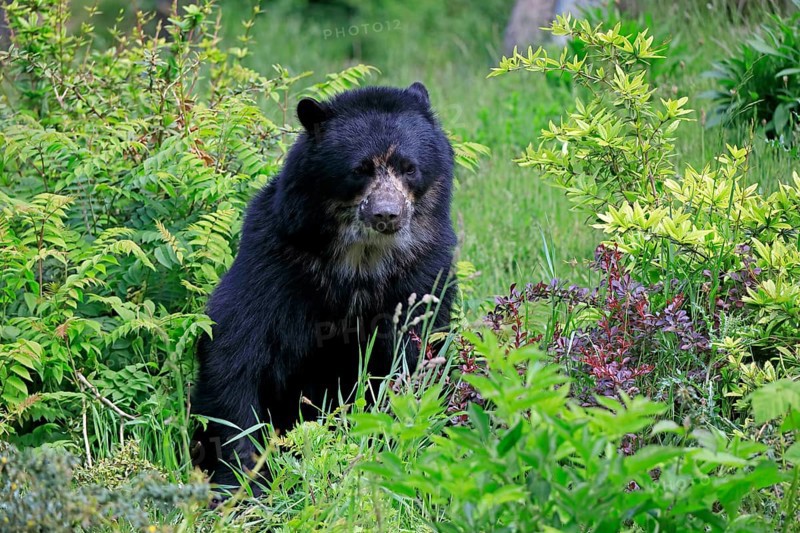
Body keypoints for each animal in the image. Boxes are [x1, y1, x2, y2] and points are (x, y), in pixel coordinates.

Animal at [190, 82, 457, 492]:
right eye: (359, 170)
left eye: (409, 168)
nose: (386, 214)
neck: (362, 259)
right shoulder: (274, 262)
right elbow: (235, 351)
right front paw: (241, 478)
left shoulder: (424, 271)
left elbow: (417, 353)